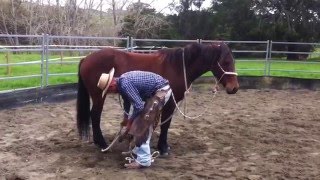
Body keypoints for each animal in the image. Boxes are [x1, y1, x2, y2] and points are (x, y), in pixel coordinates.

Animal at [76, 41, 239, 155]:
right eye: (225, 62)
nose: (234, 88)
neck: (178, 66)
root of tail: (86, 58)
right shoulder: (170, 103)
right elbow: (165, 125)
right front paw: (163, 148)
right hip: (98, 96)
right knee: (95, 115)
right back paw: (102, 143)